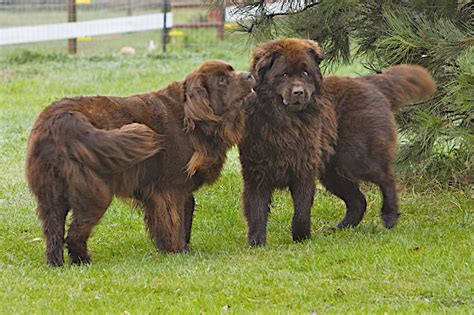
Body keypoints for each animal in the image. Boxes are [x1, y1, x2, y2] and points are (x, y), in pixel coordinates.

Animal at [25, 59, 256, 266]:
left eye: (232, 70)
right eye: (221, 80)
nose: (249, 75)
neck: (191, 119)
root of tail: (61, 119)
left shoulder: (174, 190)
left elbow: (186, 213)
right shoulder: (170, 189)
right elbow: (176, 220)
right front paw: (178, 250)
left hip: (50, 195)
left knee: (53, 232)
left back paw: (56, 263)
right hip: (94, 193)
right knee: (75, 233)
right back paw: (83, 261)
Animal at [239, 39, 338, 247]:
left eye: (305, 72)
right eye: (283, 74)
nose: (298, 92)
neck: (287, 125)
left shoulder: (304, 168)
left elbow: (302, 210)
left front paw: (301, 237)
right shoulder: (256, 173)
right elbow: (257, 210)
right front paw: (256, 242)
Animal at [322, 65, 436, 230]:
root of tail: (369, 81)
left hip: (354, 154)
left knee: (385, 179)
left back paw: (389, 217)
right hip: (332, 167)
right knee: (357, 200)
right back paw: (341, 227)